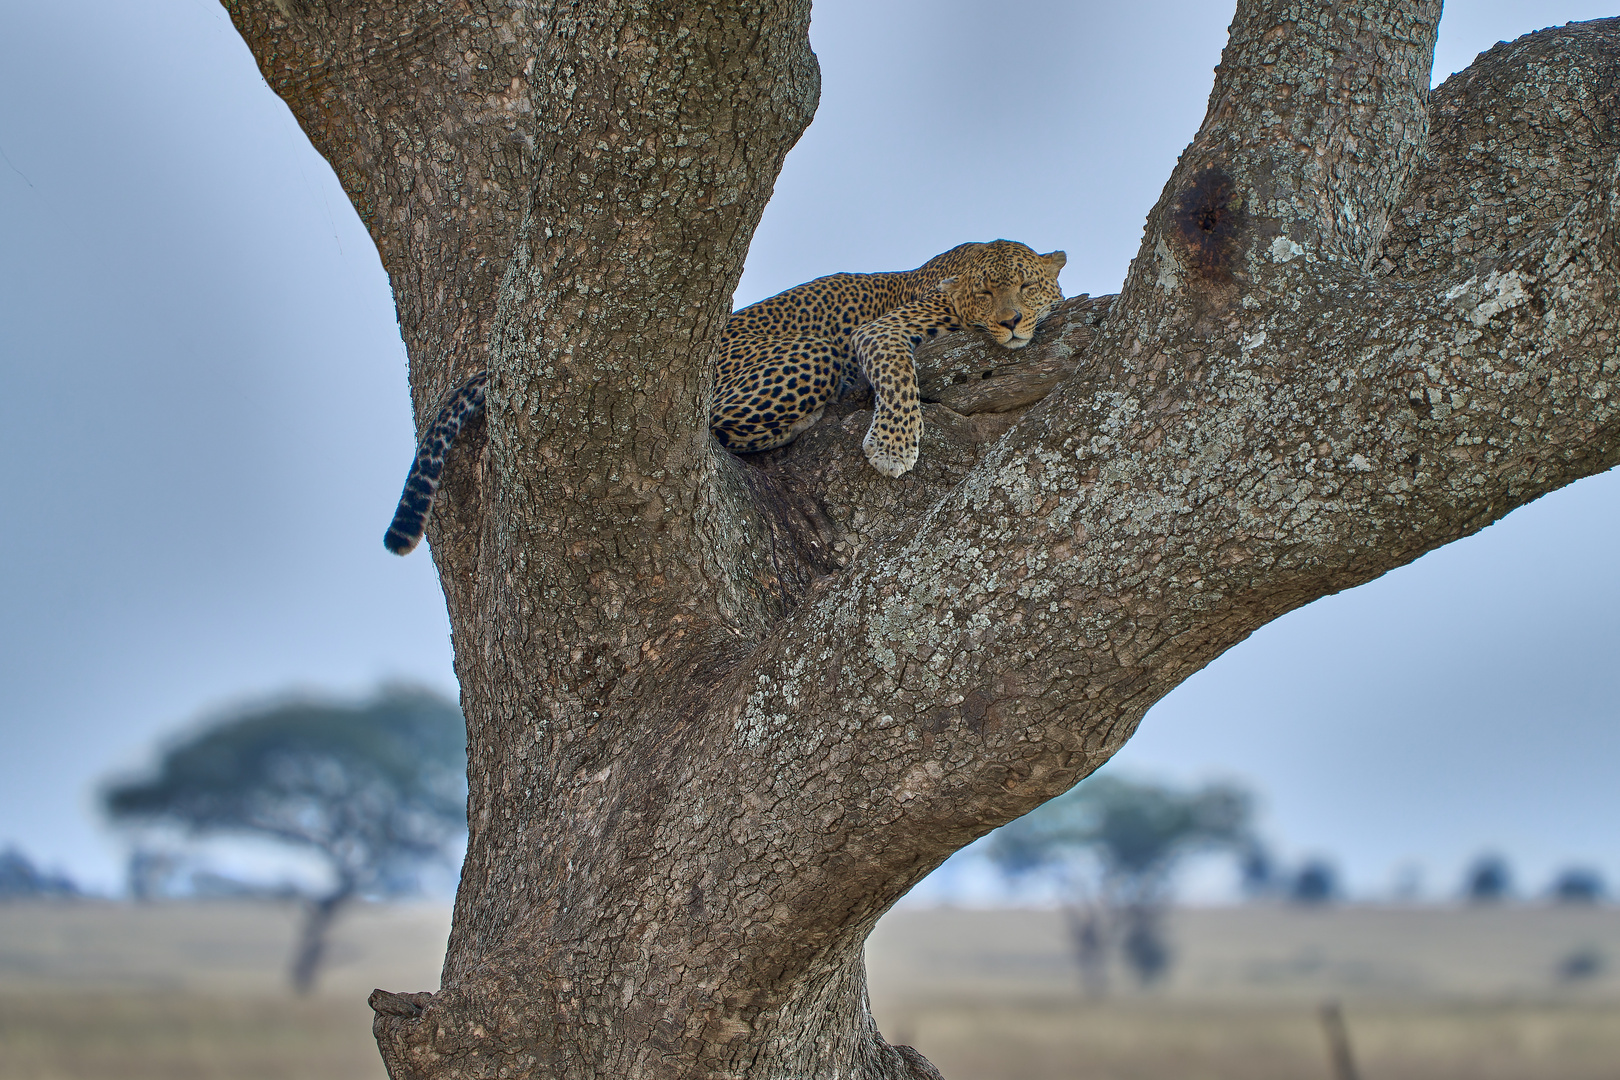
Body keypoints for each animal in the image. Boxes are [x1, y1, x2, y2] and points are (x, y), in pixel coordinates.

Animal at [379, 238, 1062, 557]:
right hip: (810, 351)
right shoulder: (880, 331)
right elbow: (898, 369)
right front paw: (894, 446)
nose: (1010, 321)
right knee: (716, 426)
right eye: (986, 293)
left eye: (1027, 285)